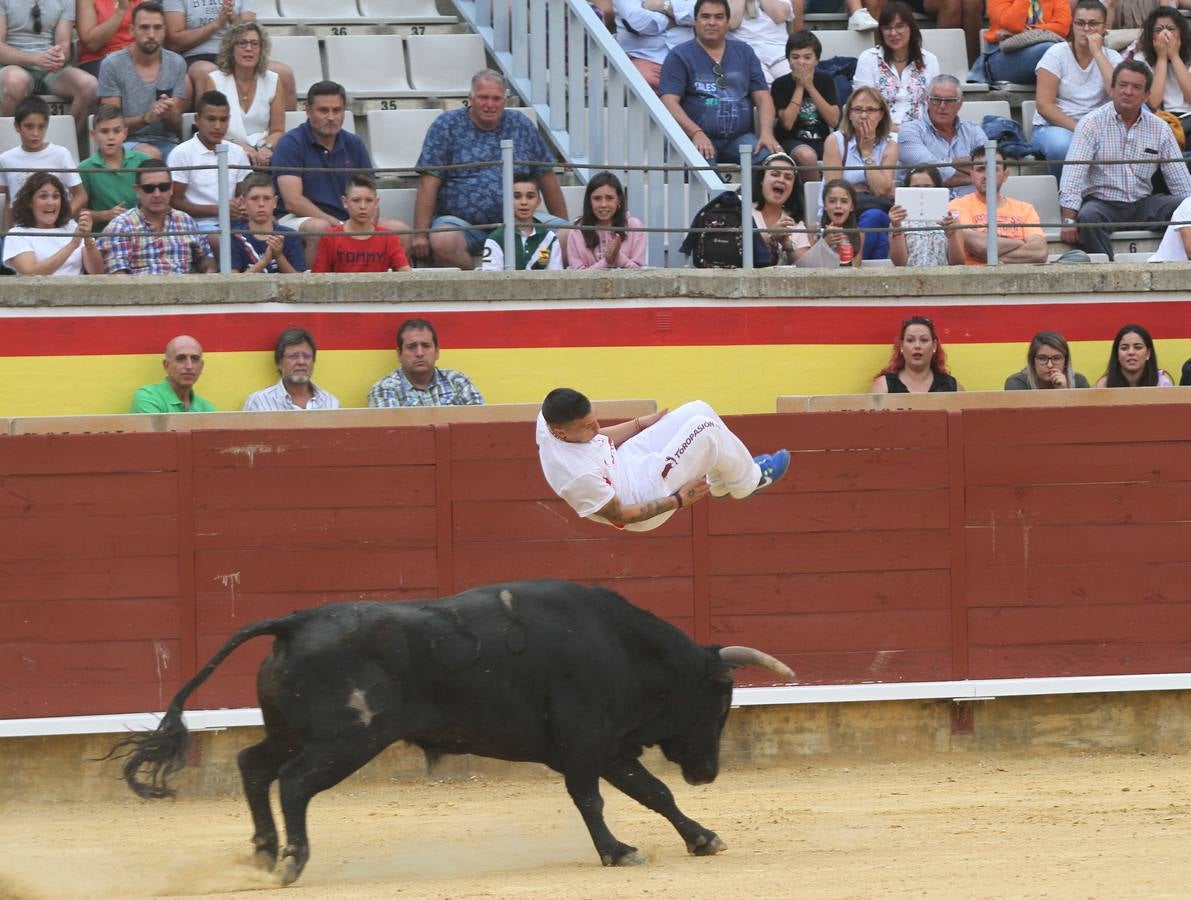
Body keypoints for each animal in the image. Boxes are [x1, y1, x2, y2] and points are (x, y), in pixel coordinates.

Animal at [104, 580, 790, 880]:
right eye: (721, 701)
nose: (708, 772)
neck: (624, 648)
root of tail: (295, 622)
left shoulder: (612, 746)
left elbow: (654, 793)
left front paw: (703, 838)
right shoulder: (584, 745)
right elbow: (592, 799)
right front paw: (617, 851)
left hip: (294, 733)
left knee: (254, 766)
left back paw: (266, 851)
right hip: (346, 741)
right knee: (294, 783)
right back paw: (294, 860)